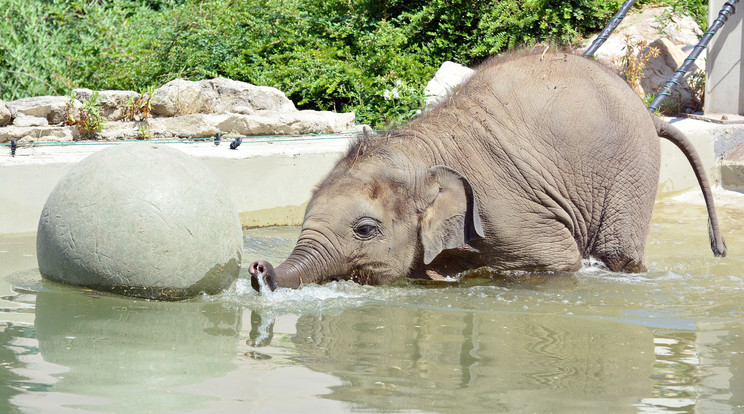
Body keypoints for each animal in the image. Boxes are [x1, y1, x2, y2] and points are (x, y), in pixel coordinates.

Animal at [250, 51, 728, 292]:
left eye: (365, 230)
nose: (258, 268)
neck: (423, 148)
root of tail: (650, 112)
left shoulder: (509, 210)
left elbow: (560, 260)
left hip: (631, 171)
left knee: (619, 254)